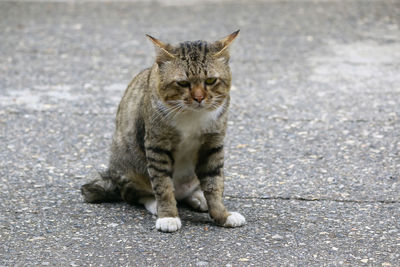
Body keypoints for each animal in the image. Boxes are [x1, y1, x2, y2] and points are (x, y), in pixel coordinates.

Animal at [79, 30, 245, 232]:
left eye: (211, 80)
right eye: (183, 83)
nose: (199, 98)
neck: (191, 114)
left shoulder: (212, 145)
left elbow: (214, 184)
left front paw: (223, 215)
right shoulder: (157, 145)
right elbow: (163, 185)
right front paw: (168, 216)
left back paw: (199, 197)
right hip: (129, 167)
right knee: (136, 194)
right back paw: (154, 204)